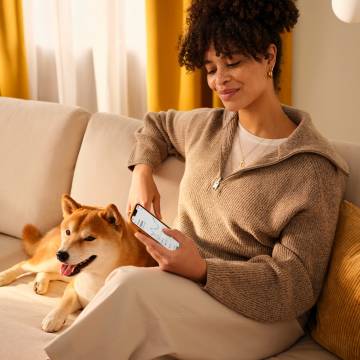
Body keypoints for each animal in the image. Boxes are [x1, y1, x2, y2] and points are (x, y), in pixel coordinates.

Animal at [0, 195, 155, 330]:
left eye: (89, 238)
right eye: (68, 232)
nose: (61, 254)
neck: (96, 277)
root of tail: (56, 227)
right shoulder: (73, 288)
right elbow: (65, 302)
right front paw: (53, 318)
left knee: (46, 272)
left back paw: (41, 282)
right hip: (51, 261)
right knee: (24, 264)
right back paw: (4, 276)